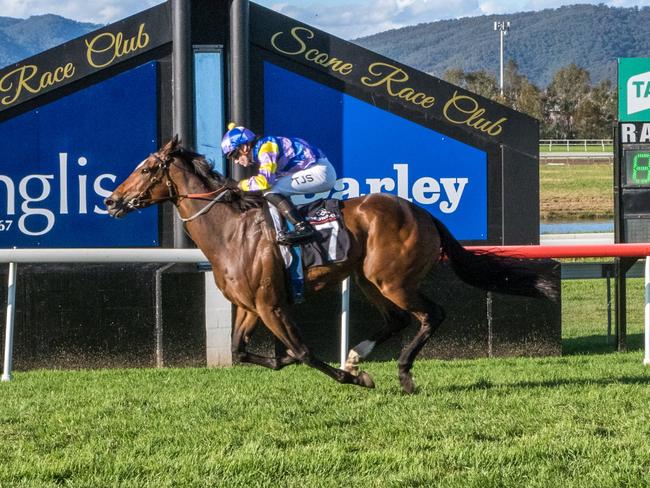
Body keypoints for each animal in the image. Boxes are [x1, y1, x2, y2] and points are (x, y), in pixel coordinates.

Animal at [104, 137, 556, 392]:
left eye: (146, 168)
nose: (111, 200)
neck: (231, 232)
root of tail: (422, 212)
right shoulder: (250, 306)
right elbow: (240, 351)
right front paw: (322, 365)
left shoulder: (272, 304)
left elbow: (304, 352)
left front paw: (351, 378)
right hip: (368, 279)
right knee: (397, 320)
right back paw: (356, 355)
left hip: (392, 280)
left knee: (432, 315)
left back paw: (402, 373)